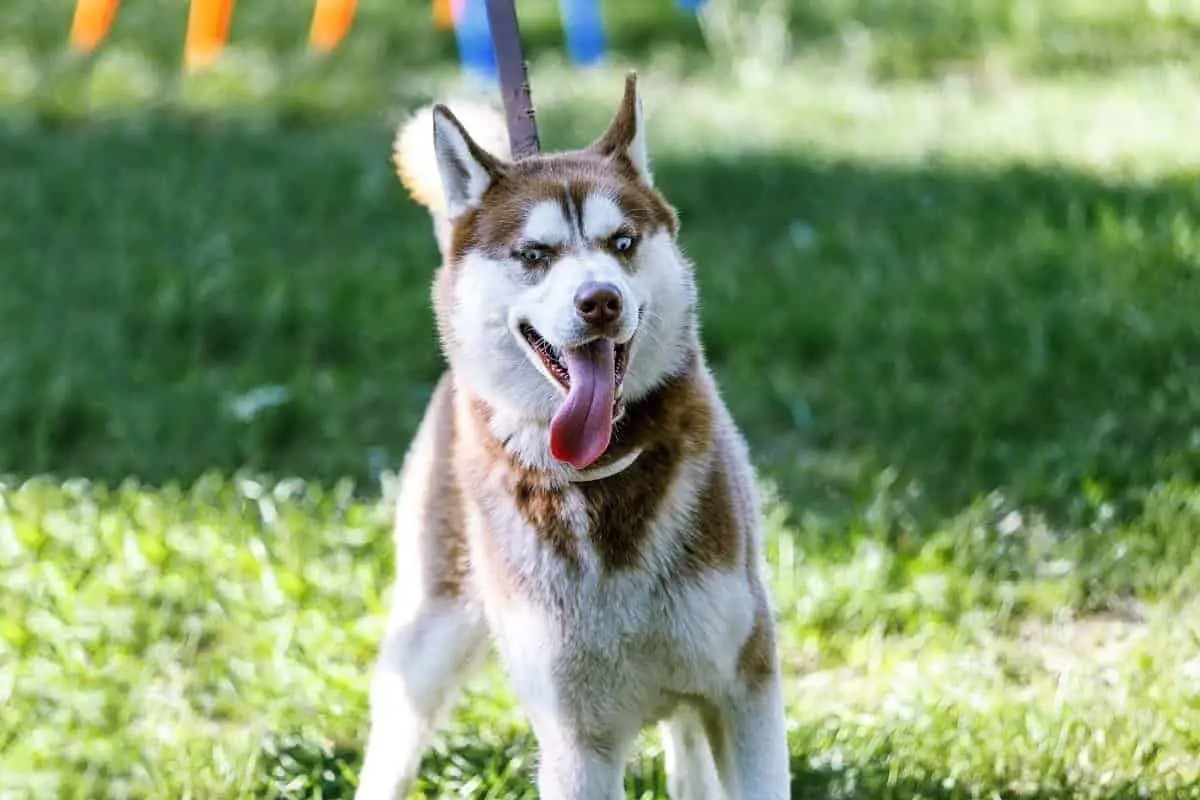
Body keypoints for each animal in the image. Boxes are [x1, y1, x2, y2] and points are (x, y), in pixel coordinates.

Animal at [352, 74, 787, 800]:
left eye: (623, 243)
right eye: (535, 255)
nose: (600, 301)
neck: (602, 483)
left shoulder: (743, 689)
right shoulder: (577, 740)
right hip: (431, 633)